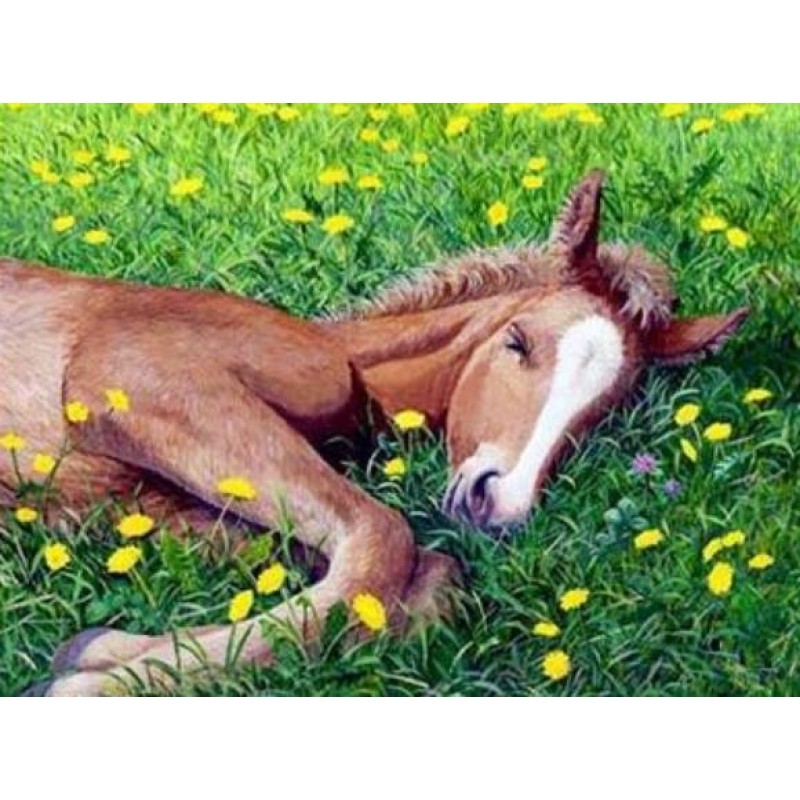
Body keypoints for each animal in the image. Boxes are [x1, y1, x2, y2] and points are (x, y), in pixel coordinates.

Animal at [1, 170, 748, 696]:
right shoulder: (138, 386)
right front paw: (87, 686)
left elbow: (410, 577)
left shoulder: (135, 504)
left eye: (604, 412)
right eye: (516, 341)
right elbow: (384, 540)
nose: (500, 506)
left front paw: (93, 654)